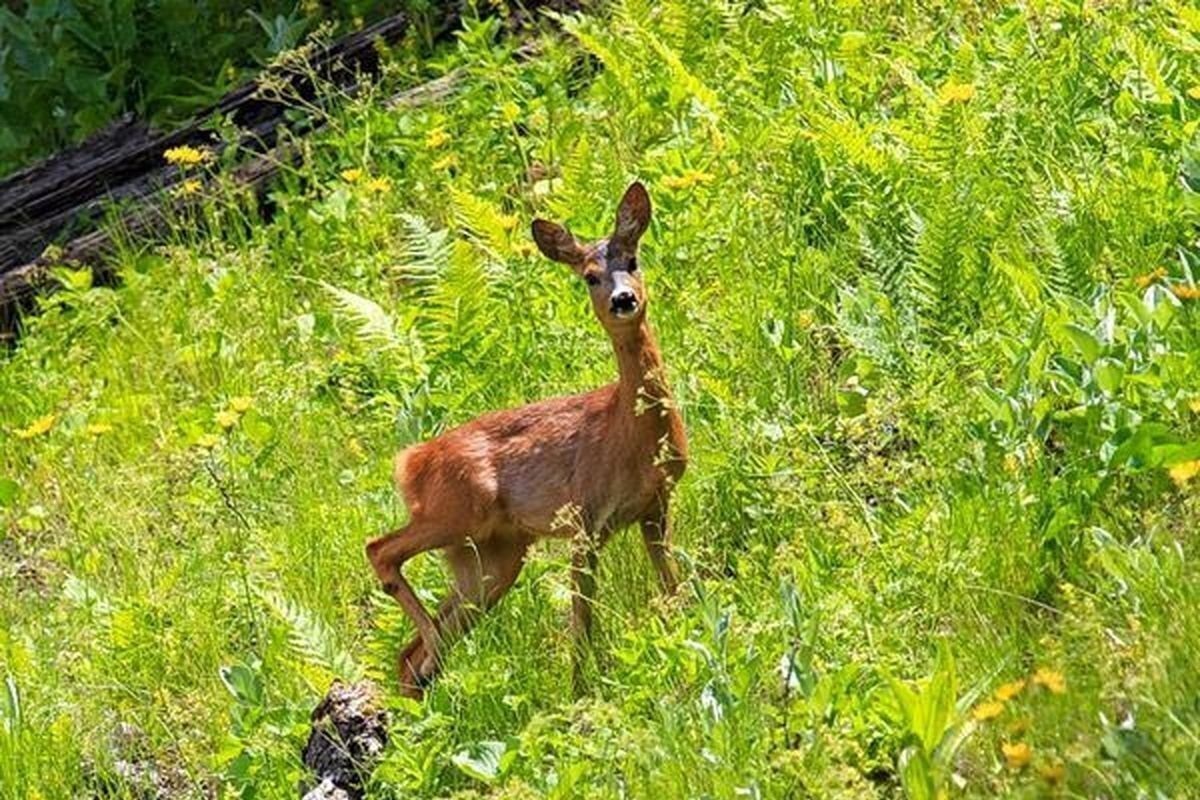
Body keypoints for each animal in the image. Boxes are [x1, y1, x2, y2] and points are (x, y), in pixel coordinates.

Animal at [362, 184, 686, 695]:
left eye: (632, 259)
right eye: (589, 277)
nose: (623, 299)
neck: (634, 433)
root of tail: (409, 460)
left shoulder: (655, 506)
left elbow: (671, 586)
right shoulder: (585, 518)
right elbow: (582, 620)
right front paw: (580, 690)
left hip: (493, 557)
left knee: (408, 655)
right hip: (457, 511)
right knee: (379, 550)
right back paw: (433, 656)